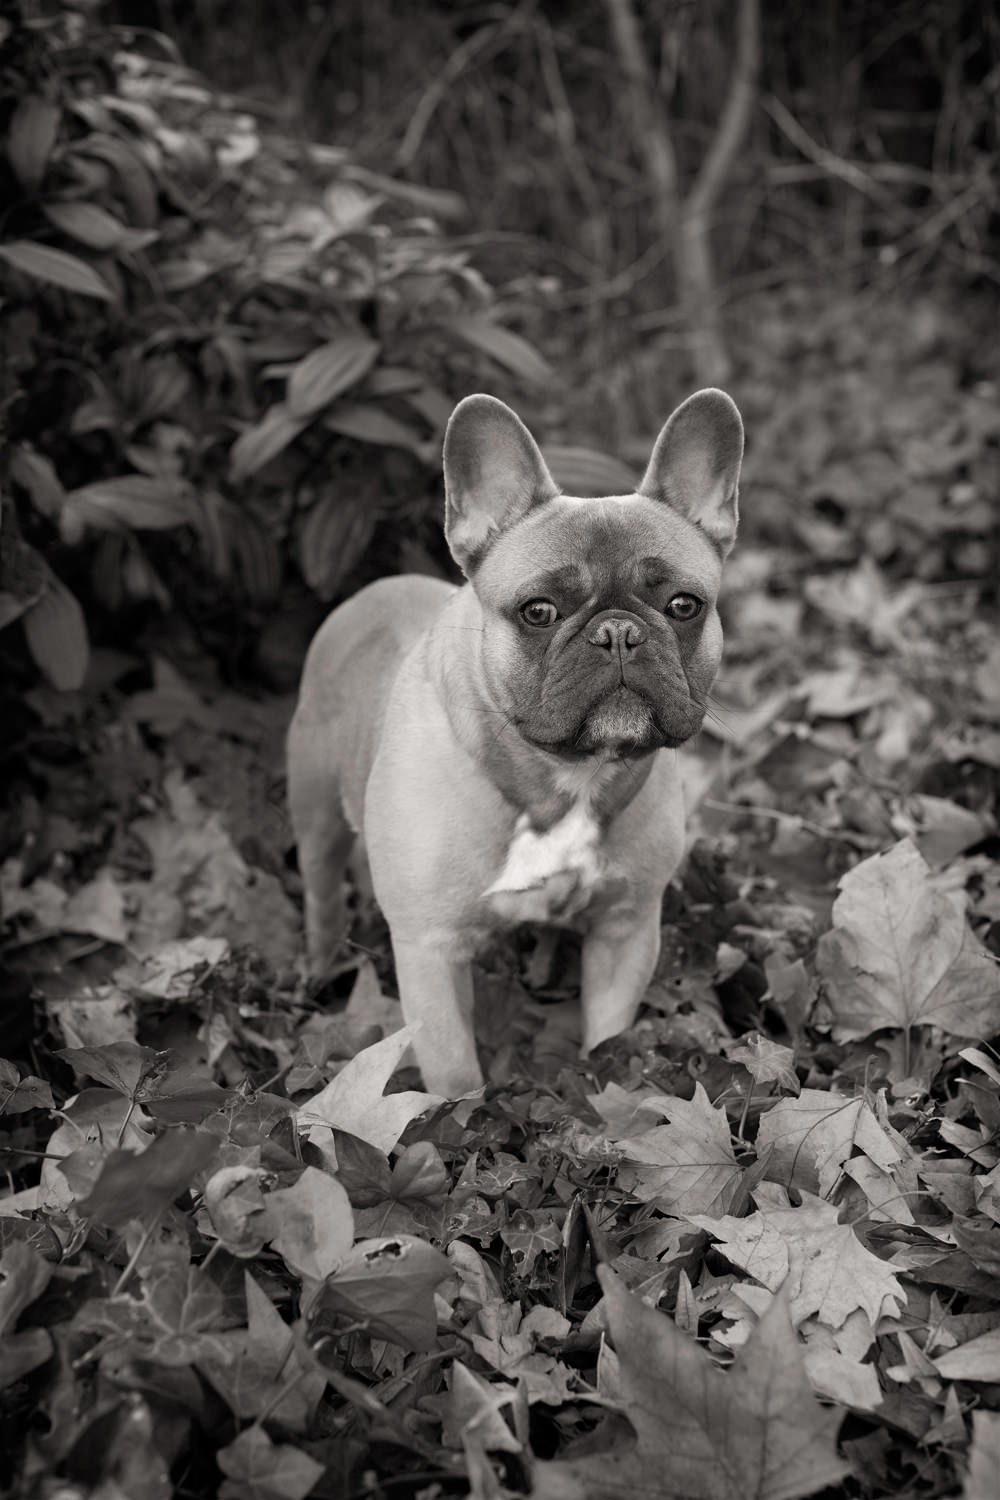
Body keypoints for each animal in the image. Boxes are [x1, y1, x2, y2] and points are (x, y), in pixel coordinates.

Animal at [289, 393, 743, 1098]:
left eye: (683, 604)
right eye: (539, 611)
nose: (618, 632)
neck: (562, 780)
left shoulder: (627, 926)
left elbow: (607, 1031)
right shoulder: (431, 952)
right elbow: (454, 1072)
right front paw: (462, 1120)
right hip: (312, 809)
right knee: (320, 887)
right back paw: (322, 965)